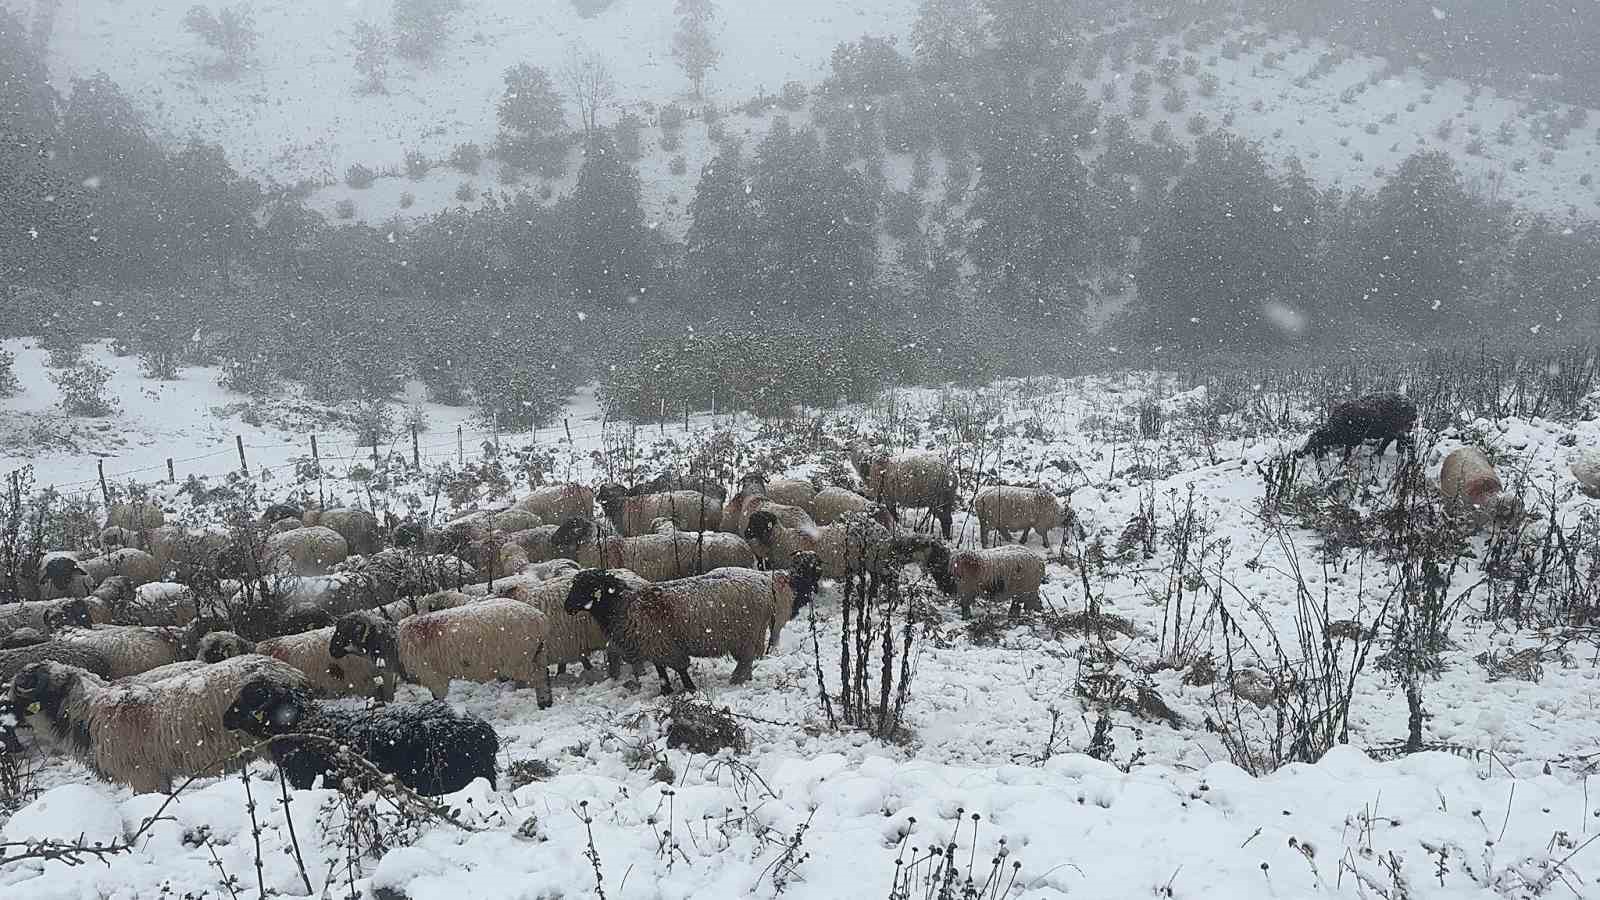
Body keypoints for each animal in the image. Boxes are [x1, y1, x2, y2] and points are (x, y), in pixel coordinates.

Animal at [1292, 390, 1420, 458]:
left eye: (1312, 442)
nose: (1298, 453)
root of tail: (1413, 405)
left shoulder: (1355, 438)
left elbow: (1348, 450)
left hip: (1401, 429)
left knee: (1407, 441)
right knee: (1390, 441)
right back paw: (1379, 453)